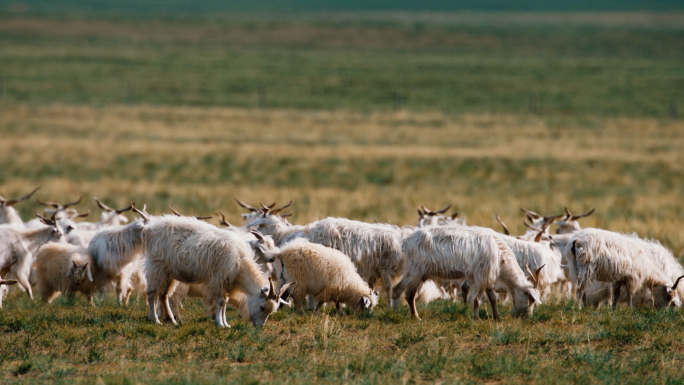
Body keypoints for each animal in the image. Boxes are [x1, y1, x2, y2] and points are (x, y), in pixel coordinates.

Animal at [142, 214, 292, 326]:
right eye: (262, 307)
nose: (260, 326)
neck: (240, 262)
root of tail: (150, 229)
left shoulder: (227, 284)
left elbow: (224, 303)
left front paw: (226, 323)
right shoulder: (220, 279)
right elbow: (220, 302)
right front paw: (220, 323)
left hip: (169, 274)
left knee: (164, 295)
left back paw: (172, 321)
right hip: (156, 268)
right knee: (152, 293)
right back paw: (155, 320)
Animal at [396, 224, 540, 320]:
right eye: (530, 299)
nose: (527, 317)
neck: (501, 256)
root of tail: (407, 241)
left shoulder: (487, 277)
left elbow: (492, 299)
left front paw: (497, 317)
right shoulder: (480, 277)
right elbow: (476, 298)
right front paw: (477, 318)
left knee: (400, 289)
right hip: (415, 271)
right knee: (409, 294)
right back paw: (415, 317)